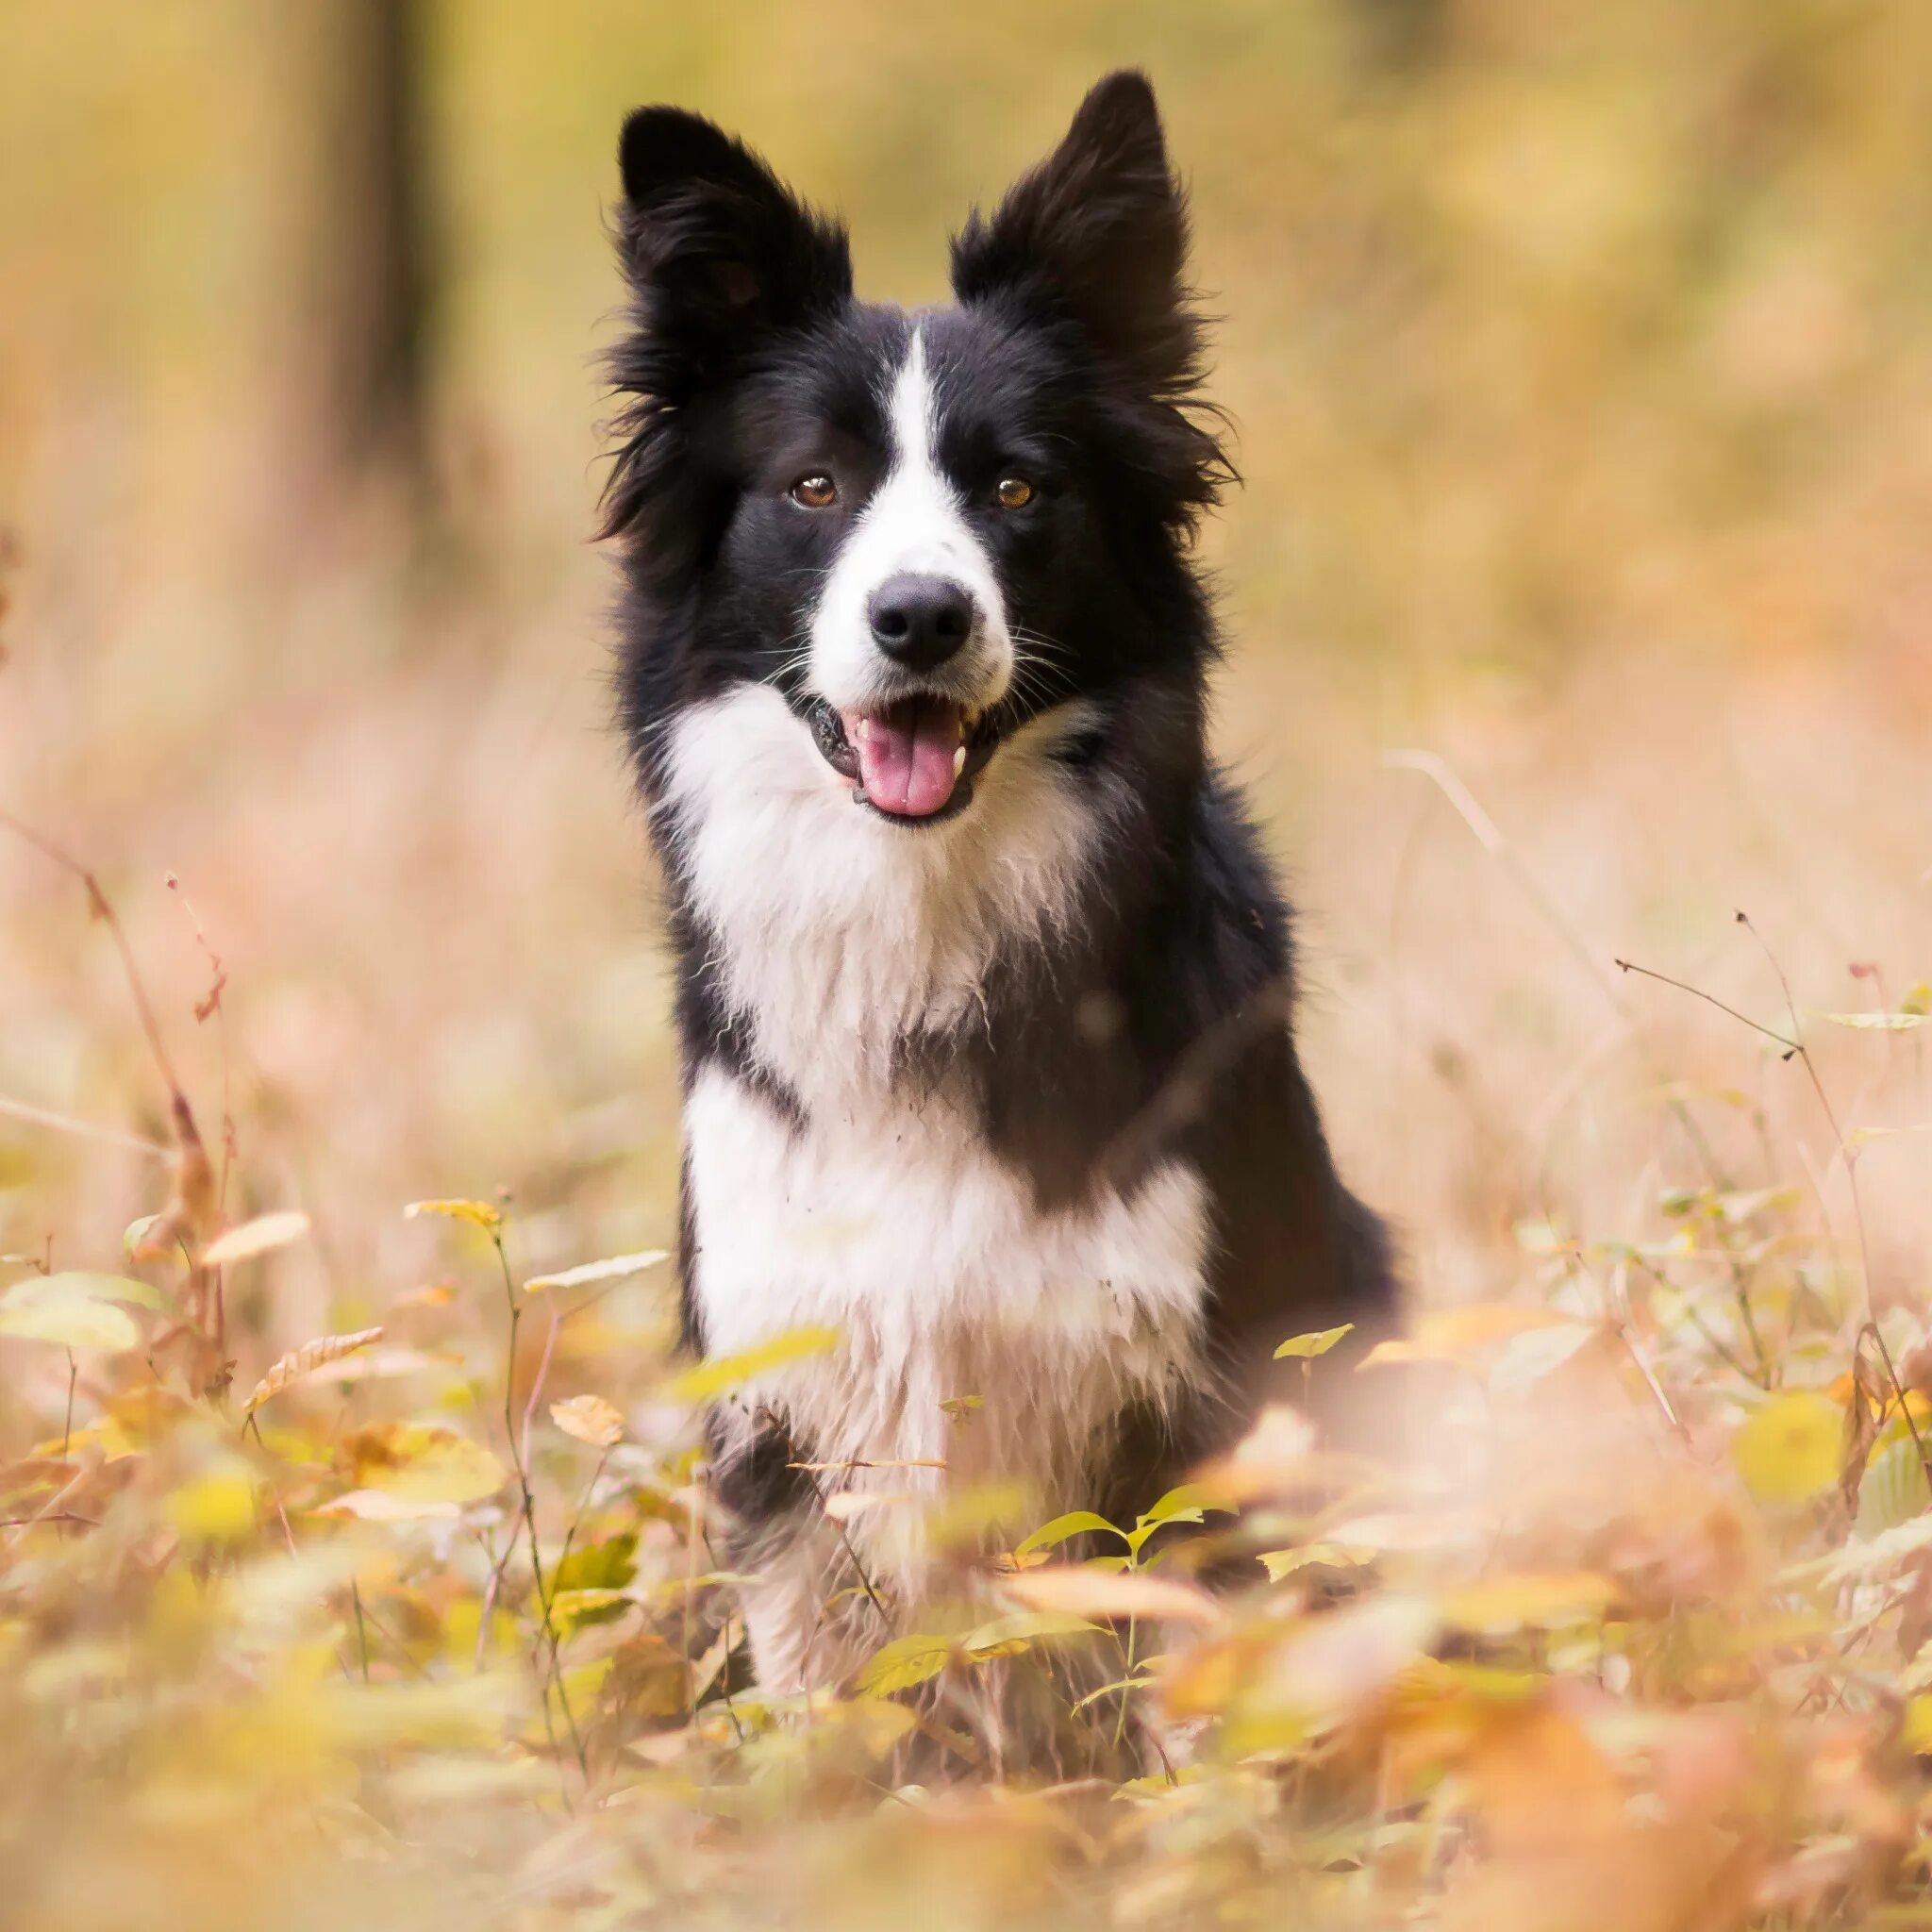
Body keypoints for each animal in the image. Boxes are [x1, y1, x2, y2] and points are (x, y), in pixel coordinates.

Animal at [602, 68, 1391, 1700]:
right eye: (814, 486)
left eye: (1020, 488)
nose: (920, 618)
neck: (926, 906)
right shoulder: (786, 1392)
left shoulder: (1210, 1382)